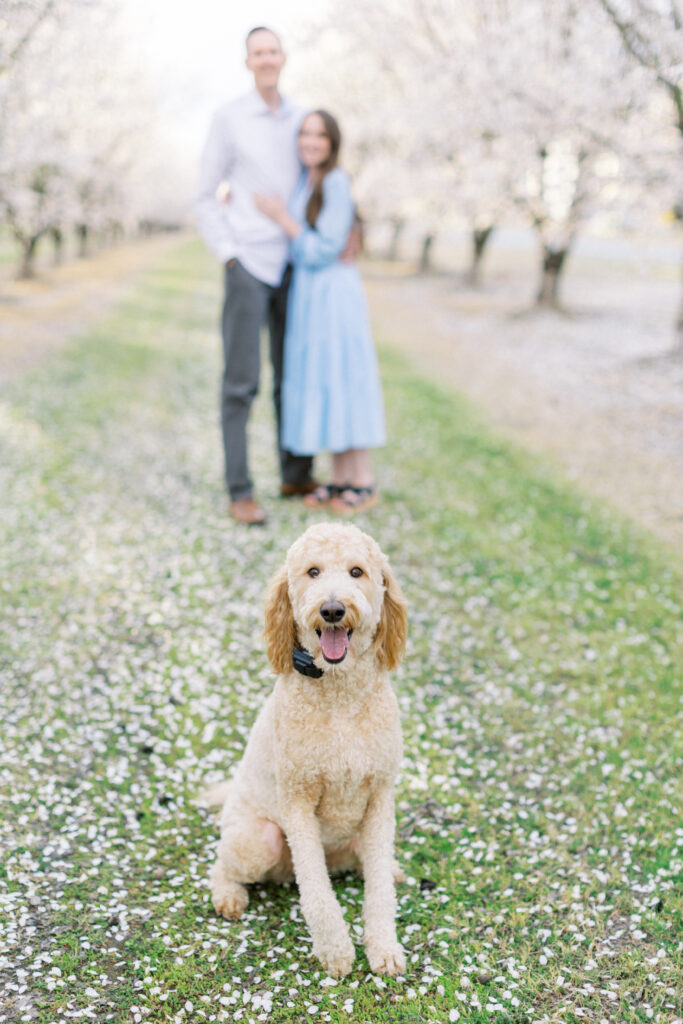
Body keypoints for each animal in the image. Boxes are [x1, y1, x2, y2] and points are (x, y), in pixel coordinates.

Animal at [205, 524, 409, 978]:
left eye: (357, 571)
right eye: (312, 572)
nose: (332, 609)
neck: (340, 696)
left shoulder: (380, 798)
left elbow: (379, 893)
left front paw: (384, 948)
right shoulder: (298, 801)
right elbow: (316, 890)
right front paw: (335, 952)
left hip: (356, 841)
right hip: (259, 840)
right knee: (222, 864)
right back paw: (228, 895)